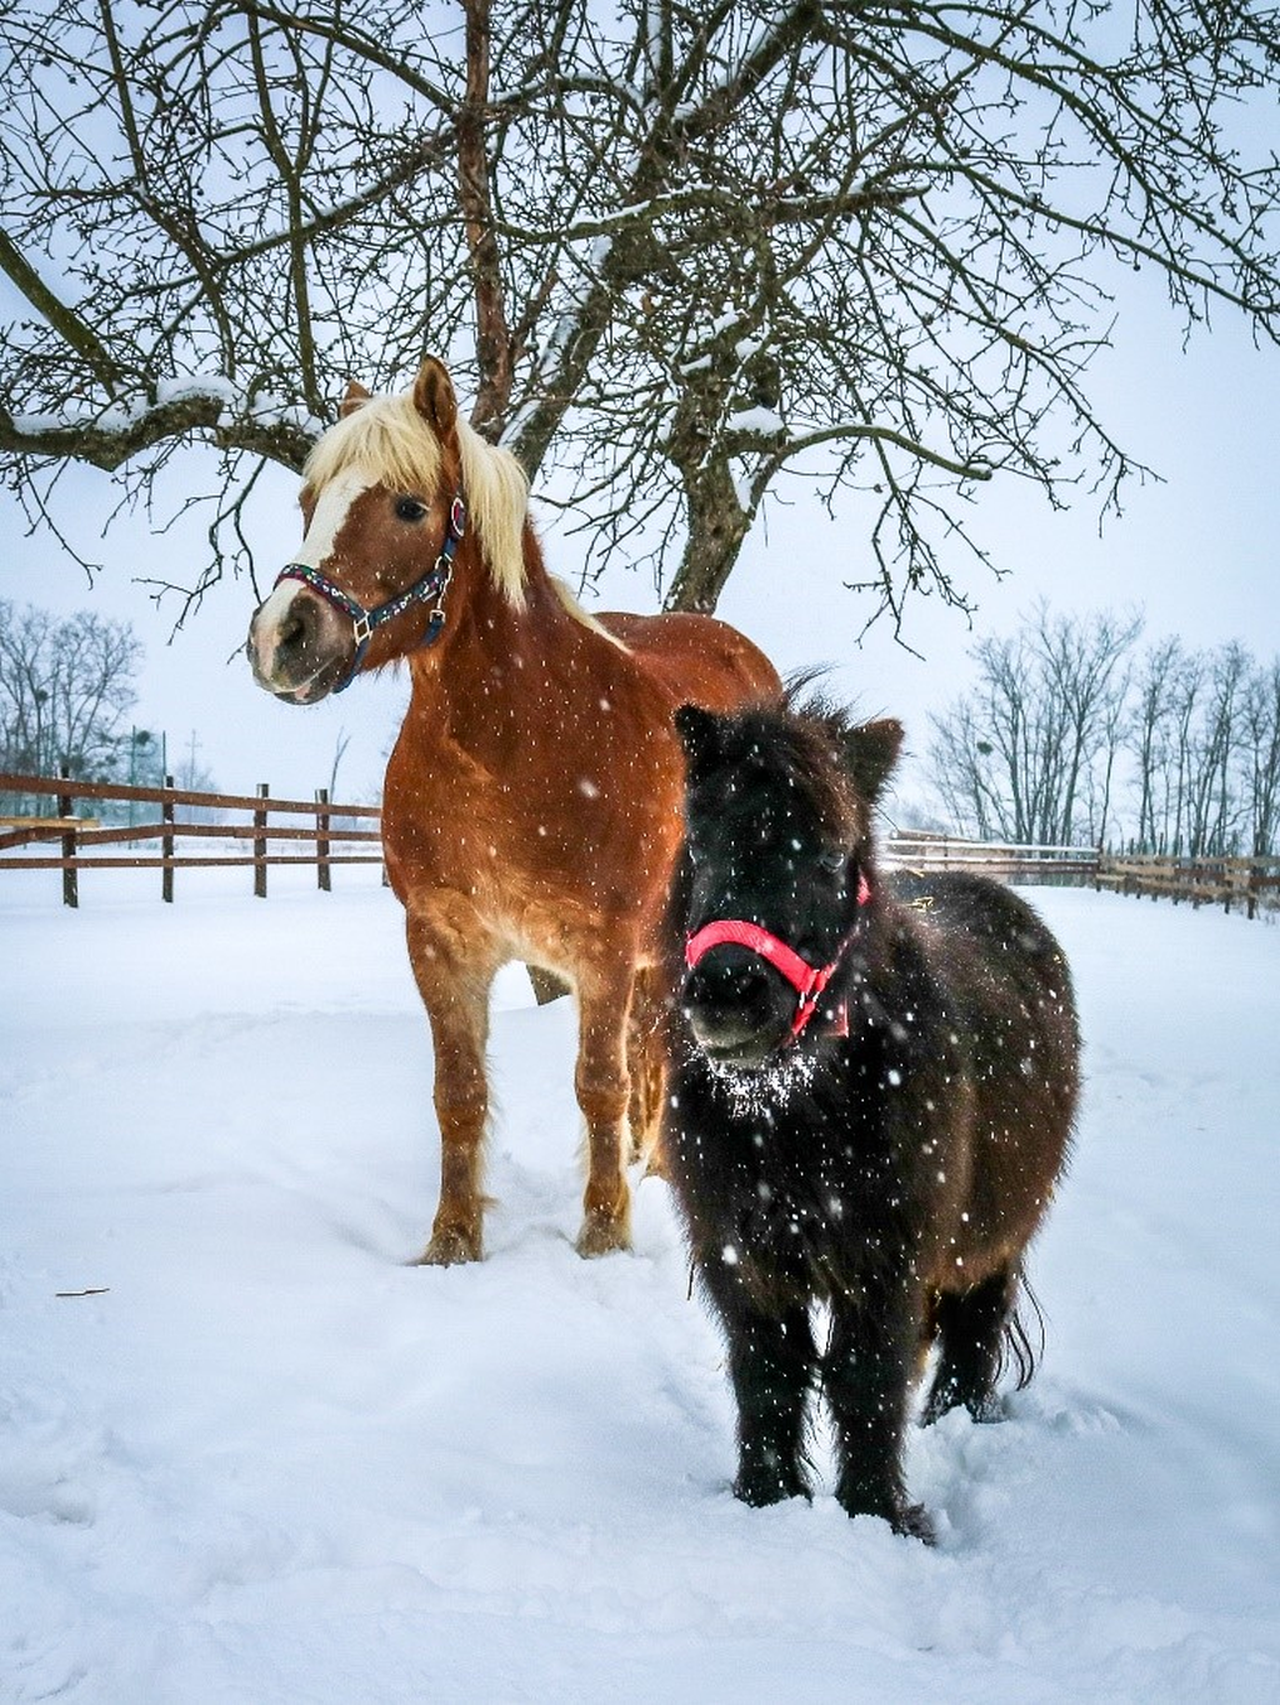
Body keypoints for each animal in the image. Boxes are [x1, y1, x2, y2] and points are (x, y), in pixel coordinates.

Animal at [245, 356, 777, 1268]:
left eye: (409, 506)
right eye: (310, 501)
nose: (283, 635)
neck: (512, 744)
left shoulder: (603, 950)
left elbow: (598, 1085)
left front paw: (603, 1230)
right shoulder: (442, 942)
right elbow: (457, 1094)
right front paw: (452, 1240)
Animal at [664, 685, 1077, 1541]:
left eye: (827, 857)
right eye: (703, 840)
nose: (725, 991)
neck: (789, 1113)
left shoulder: (886, 1265)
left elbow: (865, 1382)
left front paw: (877, 1516)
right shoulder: (743, 1262)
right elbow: (768, 1376)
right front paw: (765, 1501)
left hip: (996, 1238)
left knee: (974, 1326)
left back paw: (955, 1417)